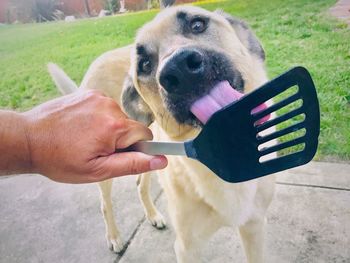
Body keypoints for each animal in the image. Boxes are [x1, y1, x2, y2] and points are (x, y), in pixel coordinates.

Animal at [48, 5, 276, 262]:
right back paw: (114, 237)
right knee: (105, 204)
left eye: (198, 24)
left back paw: (153, 216)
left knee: (140, 184)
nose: (180, 69)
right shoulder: (188, 247)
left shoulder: (254, 226)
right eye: (145, 65)